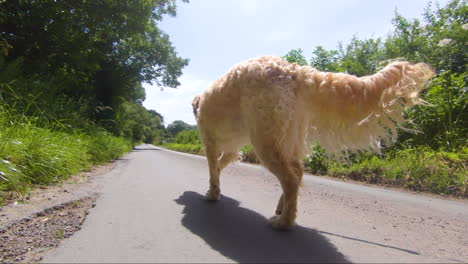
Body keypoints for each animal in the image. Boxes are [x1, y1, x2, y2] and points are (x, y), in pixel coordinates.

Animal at [192, 56, 434, 229]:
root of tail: (295, 71)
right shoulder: (231, 150)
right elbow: (219, 166)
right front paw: (216, 188)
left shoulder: (210, 143)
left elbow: (213, 169)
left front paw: (212, 194)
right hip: (286, 137)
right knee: (297, 173)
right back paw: (283, 209)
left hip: (267, 141)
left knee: (290, 179)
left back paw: (284, 222)